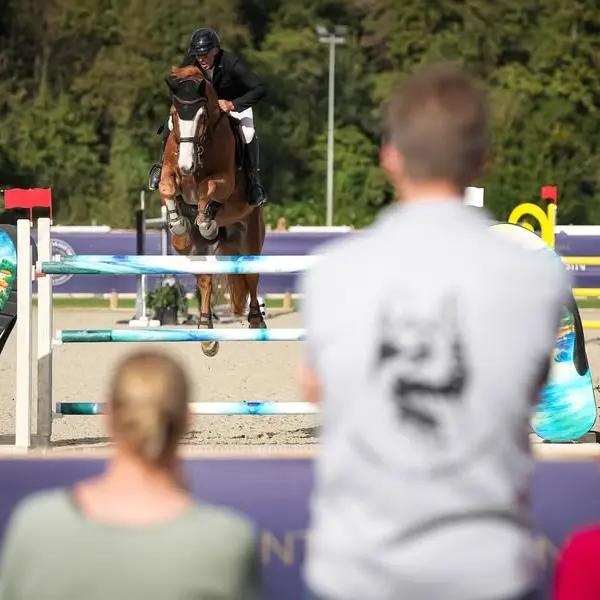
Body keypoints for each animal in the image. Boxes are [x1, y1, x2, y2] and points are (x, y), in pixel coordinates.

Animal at [158, 65, 266, 356]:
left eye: (202, 115)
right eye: (174, 114)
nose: (186, 166)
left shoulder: (224, 181)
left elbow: (209, 191)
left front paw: (207, 223)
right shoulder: (170, 170)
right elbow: (166, 186)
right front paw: (179, 222)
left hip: (251, 236)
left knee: (251, 277)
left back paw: (256, 322)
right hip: (193, 253)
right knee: (205, 280)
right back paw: (206, 333)